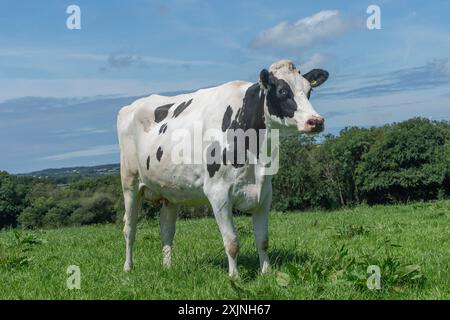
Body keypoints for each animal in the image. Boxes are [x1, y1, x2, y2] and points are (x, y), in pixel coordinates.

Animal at [118, 60, 328, 278]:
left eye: (309, 90)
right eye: (282, 91)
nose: (316, 121)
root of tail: (132, 106)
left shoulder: (264, 193)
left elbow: (263, 240)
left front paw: (266, 273)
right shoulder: (218, 193)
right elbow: (232, 242)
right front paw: (234, 277)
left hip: (170, 192)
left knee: (166, 230)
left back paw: (168, 267)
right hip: (130, 183)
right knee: (129, 228)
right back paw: (128, 267)